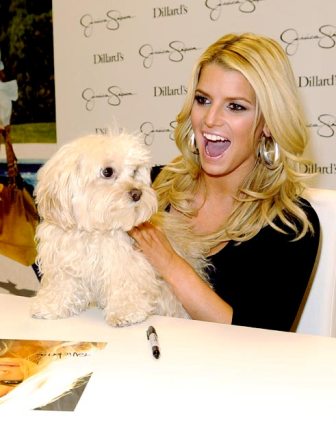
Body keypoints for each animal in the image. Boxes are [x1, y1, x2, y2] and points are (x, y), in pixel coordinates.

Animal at [30, 131, 207, 326]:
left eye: (134, 171)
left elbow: (125, 284)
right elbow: (61, 285)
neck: (93, 231)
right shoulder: (62, 261)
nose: (138, 193)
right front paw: (51, 306)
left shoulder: (124, 262)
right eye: (107, 172)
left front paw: (126, 312)